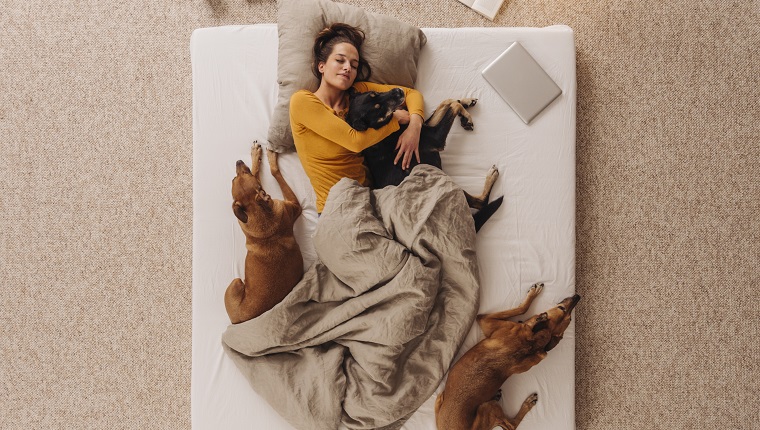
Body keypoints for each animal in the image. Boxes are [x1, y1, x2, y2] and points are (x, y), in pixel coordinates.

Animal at [223, 143, 302, 324]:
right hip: (236, 282)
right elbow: (273, 172)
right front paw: (262, 155)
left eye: (243, 174)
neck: (257, 210)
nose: (238, 161)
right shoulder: (295, 205)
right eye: (234, 178)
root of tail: (238, 321)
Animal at [346, 88, 502, 232]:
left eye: (374, 92)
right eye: (378, 108)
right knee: (481, 202)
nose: (398, 90)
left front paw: (466, 106)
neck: (379, 129)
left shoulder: (420, 127)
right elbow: (453, 105)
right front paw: (466, 113)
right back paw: (491, 176)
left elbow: (447, 101)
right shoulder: (436, 138)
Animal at [436, 284, 580, 428]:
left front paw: (534, 302)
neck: (532, 344)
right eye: (564, 311)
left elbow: (522, 309)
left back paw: (527, 403)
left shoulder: (485, 320)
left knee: (511, 425)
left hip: (488, 407)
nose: (578, 296)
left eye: (569, 316)